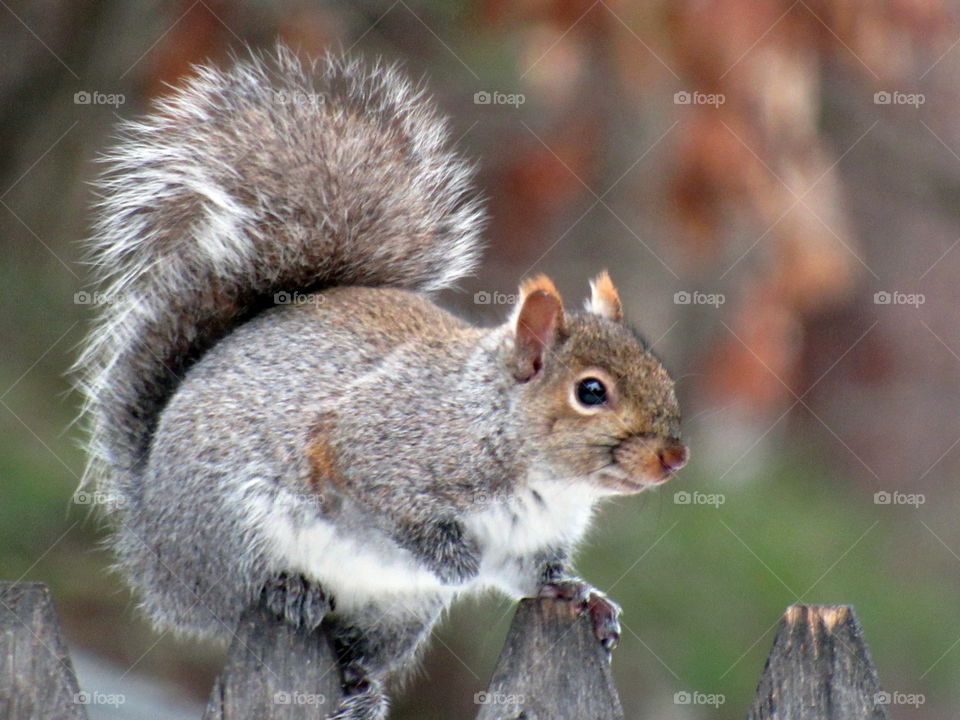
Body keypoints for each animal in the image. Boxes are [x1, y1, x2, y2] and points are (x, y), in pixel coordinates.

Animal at [76, 47, 688, 720]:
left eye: (659, 372)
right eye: (591, 392)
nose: (674, 458)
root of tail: (153, 547)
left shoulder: (530, 542)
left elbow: (534, 577)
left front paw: (581, 596)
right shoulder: (379, 442)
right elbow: (383, 497)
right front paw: (455, 559)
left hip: (399, 610)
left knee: (359, 648)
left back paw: (360, 683)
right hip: (228, 527)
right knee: (233, 597)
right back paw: (287, 591)